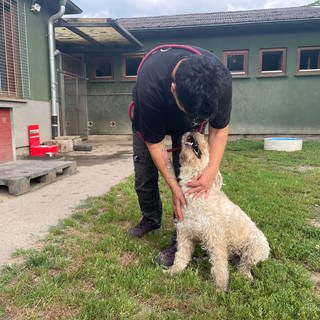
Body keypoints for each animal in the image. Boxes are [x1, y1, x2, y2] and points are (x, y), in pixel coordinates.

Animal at [168, 131, 270, 292]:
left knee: (244, 265)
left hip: (254, 248)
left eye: (208, 143)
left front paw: (221, 287)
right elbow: (181, 256)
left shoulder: (216, 239)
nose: (194, 131)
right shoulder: (185, 234)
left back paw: (246, 276)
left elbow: (220, 266)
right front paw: (174, 271)